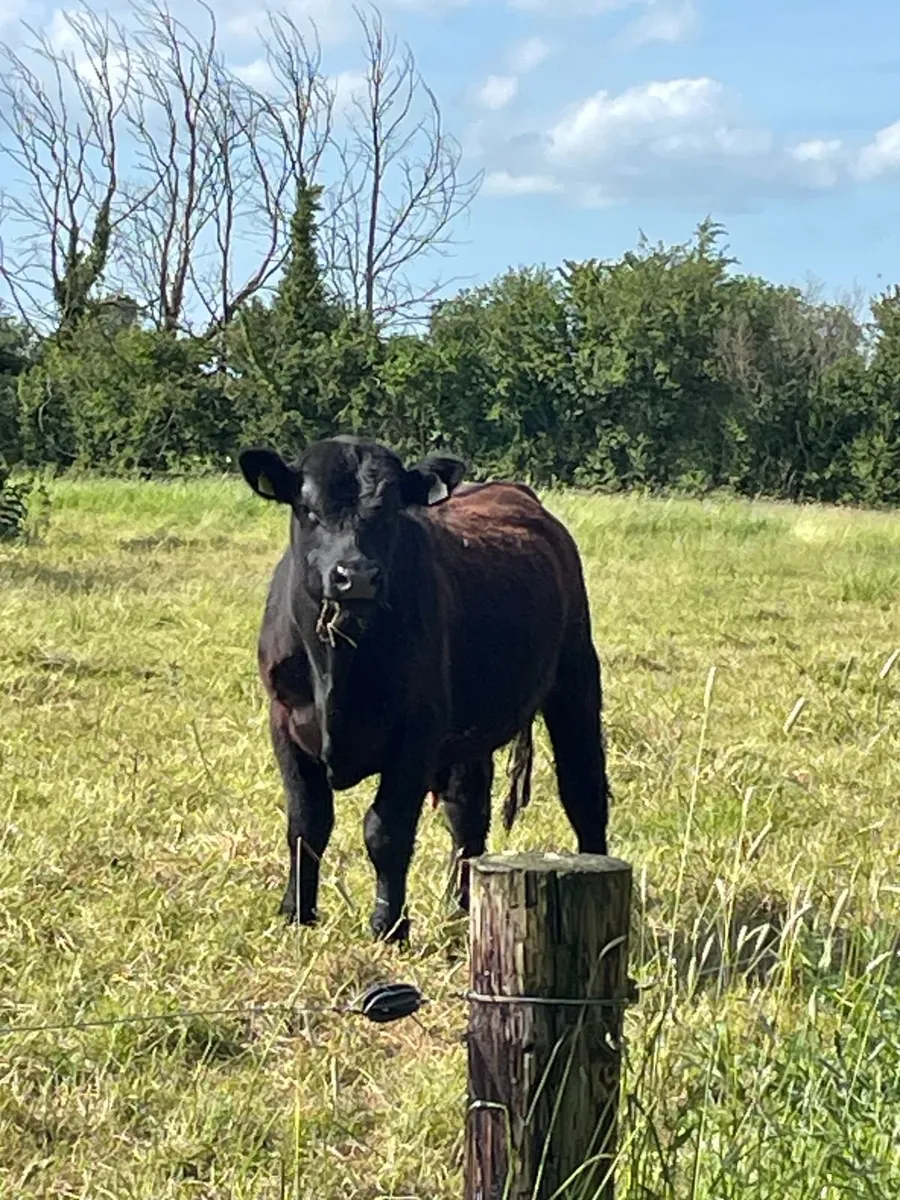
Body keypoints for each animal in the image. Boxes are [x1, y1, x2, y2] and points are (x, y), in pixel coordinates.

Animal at [238, 435, 611, 942]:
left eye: (392, 510)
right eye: (307, 508)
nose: (355, 575)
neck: (338, 670)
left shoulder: (416, 732)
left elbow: (385, 830)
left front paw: (388, 926)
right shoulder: (284, 723)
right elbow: (306, 824)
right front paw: (296, 912)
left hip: (576, 678)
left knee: (584, 790)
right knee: (468, 811)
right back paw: (461, 903)